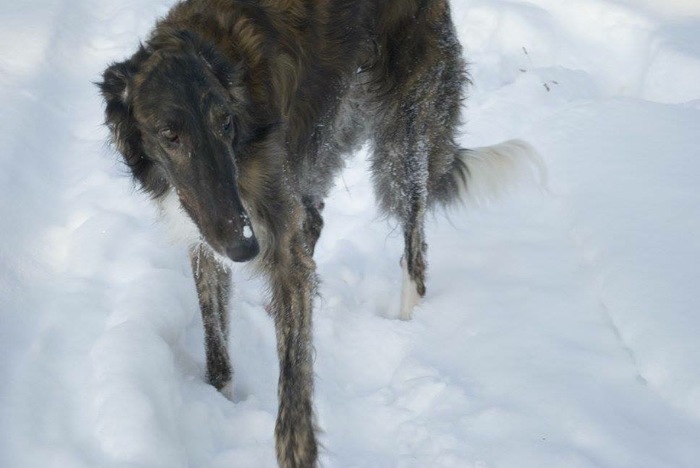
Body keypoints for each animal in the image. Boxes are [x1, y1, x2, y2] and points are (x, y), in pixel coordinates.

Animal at [97, 1, 536, 466]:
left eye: (225, 123)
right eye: (170, 133)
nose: (245, 248)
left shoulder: (263, 235)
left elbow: (294, 385)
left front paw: (295, 448)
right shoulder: (206, 235)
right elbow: (217, 349)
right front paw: (220, 404)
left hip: (404, 141)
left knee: (413, 253)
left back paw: (405, 323)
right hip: (322, 139)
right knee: (316, 225)